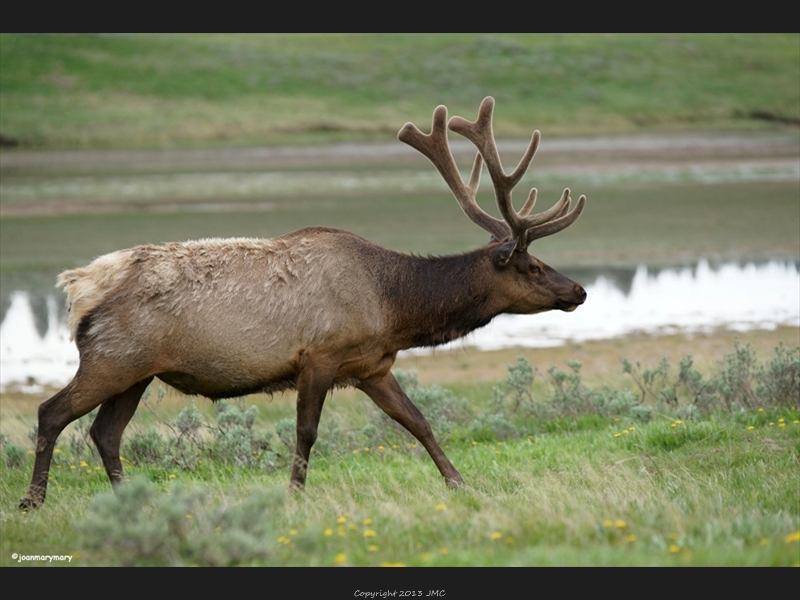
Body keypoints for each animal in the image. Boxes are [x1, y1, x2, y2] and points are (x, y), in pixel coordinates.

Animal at [18, 96, 588, 508]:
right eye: (534, 266)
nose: (579, 291)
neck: (394, 308)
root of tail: (79, 285)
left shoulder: (372, 366)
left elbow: (418, 421)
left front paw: (459, 483)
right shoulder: (319, 355)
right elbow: (307, 432)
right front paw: (294, 494)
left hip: (136, 371)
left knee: (105, 432)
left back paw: (130, 499)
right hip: (112, 358)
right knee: (52, 412)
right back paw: (34, 500)